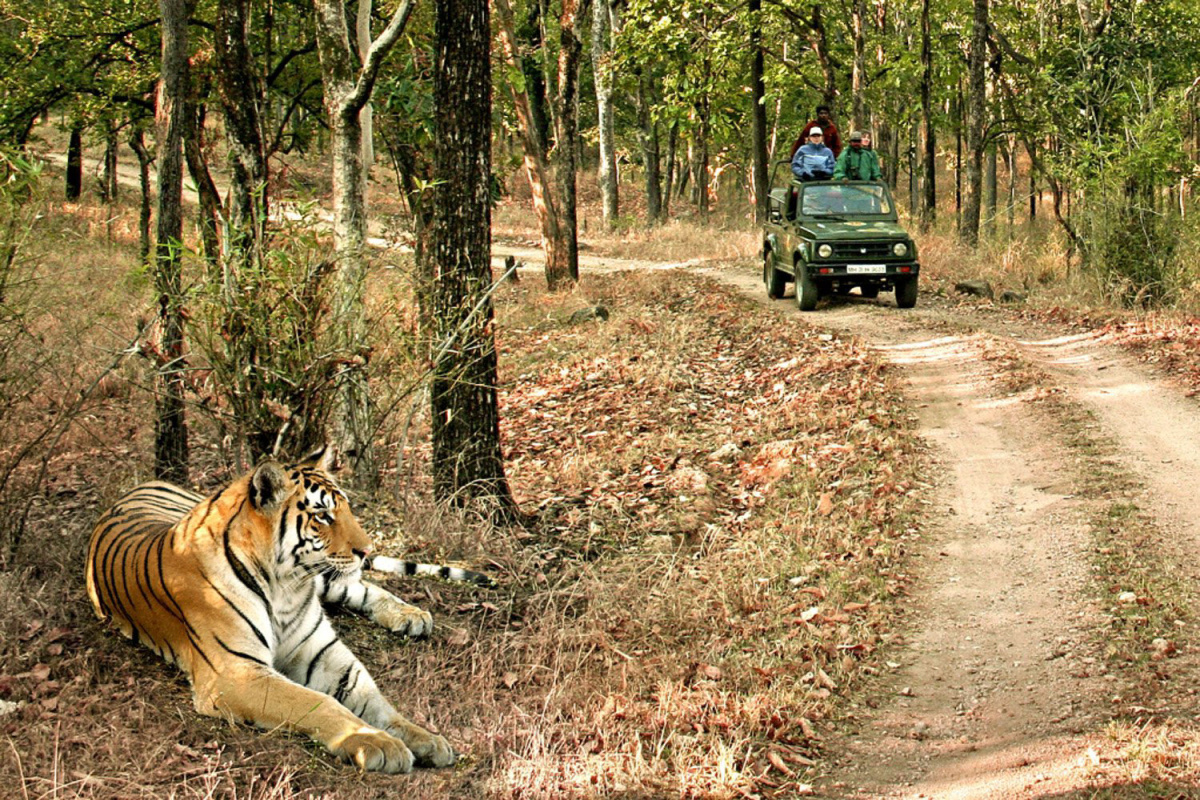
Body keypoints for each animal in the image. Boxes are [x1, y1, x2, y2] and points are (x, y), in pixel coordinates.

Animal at [84, 448, 458, 772]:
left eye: (347, 509)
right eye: (323, 516)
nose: (366, 551)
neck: (287, 587)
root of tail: (144, 483)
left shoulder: (324, 655)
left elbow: (378, 702)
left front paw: (427, 739)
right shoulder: (236, 673)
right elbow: (318, 702)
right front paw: (380, 744)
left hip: (330, 581)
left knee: (362, 586)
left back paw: (412, 617)